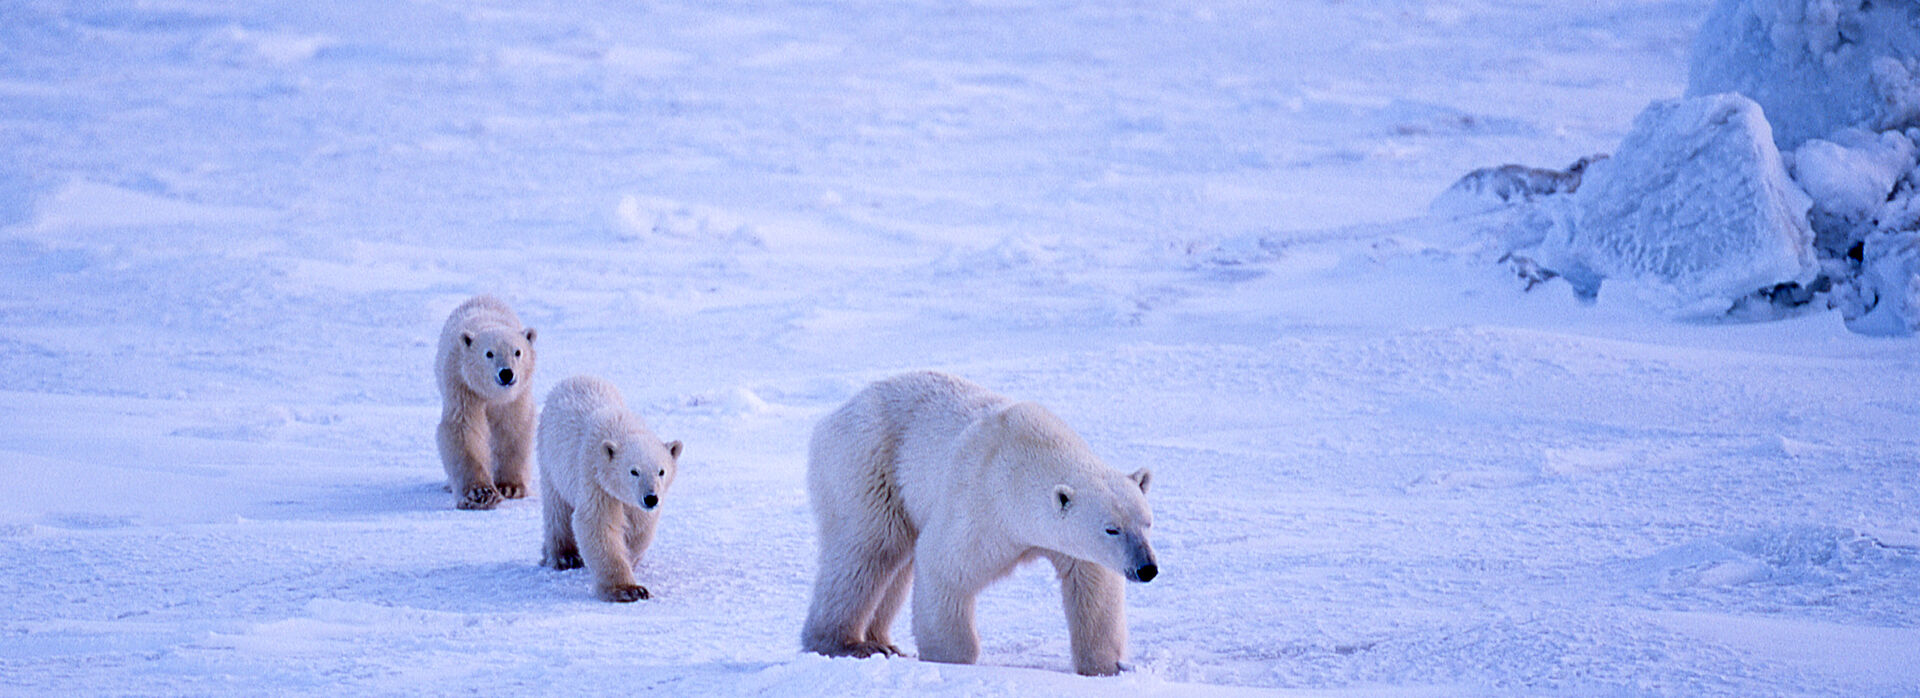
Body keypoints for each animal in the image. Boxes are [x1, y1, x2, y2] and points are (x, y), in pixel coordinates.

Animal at [434, 294, 538, 510]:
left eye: (518, 352)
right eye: (489, 353)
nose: (506, 373)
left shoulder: (516, 396)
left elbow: (513, 428)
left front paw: (510, 487)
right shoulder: (463, 385)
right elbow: (464, 430)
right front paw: (480, 494)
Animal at [538, 374, 683, 602]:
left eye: (661, 471)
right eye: (634, 471)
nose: (651, 498)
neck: (620, 428)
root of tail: (575, 378)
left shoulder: (633, 502)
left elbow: (640, 527)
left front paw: (631, 558)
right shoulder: (596, 479)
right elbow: (598, 524)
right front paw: (628, 589)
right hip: (550, 462)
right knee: (557, 509)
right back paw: (564, 557)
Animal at [800, 371, 1157, 677]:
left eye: (1147, 523)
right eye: (1112, 529)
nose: (1147, 569)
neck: (1025, 459)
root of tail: (832, 417)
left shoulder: (1067, 543)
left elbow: (1092, 585)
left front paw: (1109, 666)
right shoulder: (983, 509)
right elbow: (945, 568)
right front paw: (952, 661)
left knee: (896, 565)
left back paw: (883, 642)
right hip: (867, 465)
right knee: (867, 551)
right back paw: (845, 644)